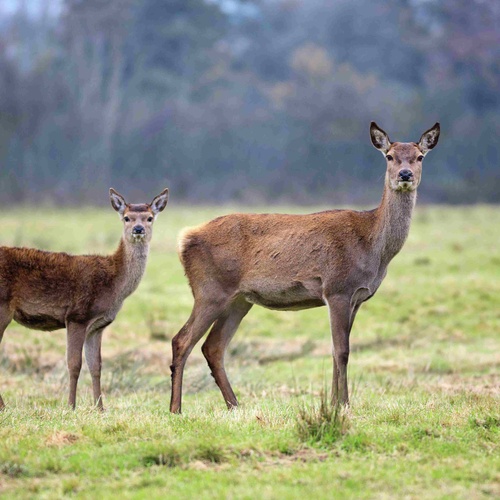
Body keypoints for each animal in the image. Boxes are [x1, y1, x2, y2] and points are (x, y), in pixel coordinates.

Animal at [0, 188, 168, 410]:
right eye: (126, 217)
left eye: (150, 217)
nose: (138, 229)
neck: (113, 283)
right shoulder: (77, 316)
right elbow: (74, 364)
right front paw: (71, 406)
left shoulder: (97, 325)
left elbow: (96, 366)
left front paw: (100, 408)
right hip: (2, 307)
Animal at [170, 123, 440, 412]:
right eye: (389, 156)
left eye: (419, 157)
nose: (405, 174)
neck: (373, 246)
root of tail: (185, 238)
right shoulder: (337, 288)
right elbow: (343, 350)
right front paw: (344, 404)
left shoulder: (357, 297)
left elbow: (334, 350)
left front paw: (333, 404)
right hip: (210, 290)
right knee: (182, 340)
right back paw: (176, 409)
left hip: (239, 300)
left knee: (213, 346)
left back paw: (235, 405)